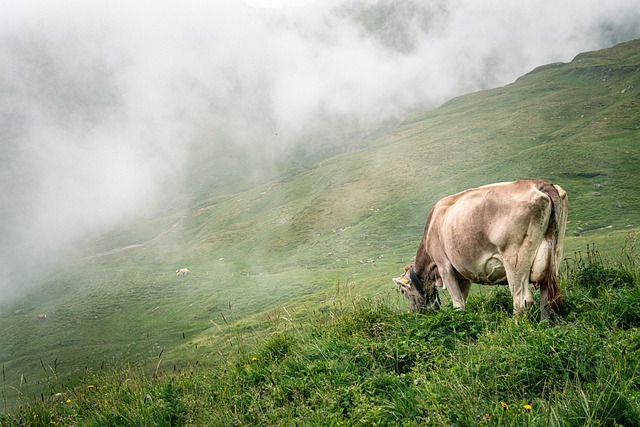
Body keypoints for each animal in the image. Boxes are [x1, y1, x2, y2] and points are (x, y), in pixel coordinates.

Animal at [393, 179, 568, 320]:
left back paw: (516, 326)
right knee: (547, 296)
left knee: (522, 300)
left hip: (515, 259)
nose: (413, 313)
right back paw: (544, 324)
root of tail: (538, 184)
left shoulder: (445, 267)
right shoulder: (463, 276)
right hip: (553, 254)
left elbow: (458, 304)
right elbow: (463, 301)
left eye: (403, 291)